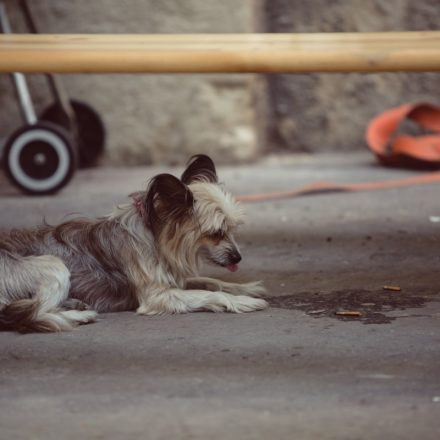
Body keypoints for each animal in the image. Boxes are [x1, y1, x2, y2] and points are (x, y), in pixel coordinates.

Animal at [0, 156, 268, 332]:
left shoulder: (175, 279)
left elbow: (210, 282)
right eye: (215, 232)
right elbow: (207, 293)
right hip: (53, 265)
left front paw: (245, 288)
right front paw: (242, 301)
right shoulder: (159, 295)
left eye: (232, 228)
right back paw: (77, 315)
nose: (238, 258)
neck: (155, 238)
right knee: (34, 313)